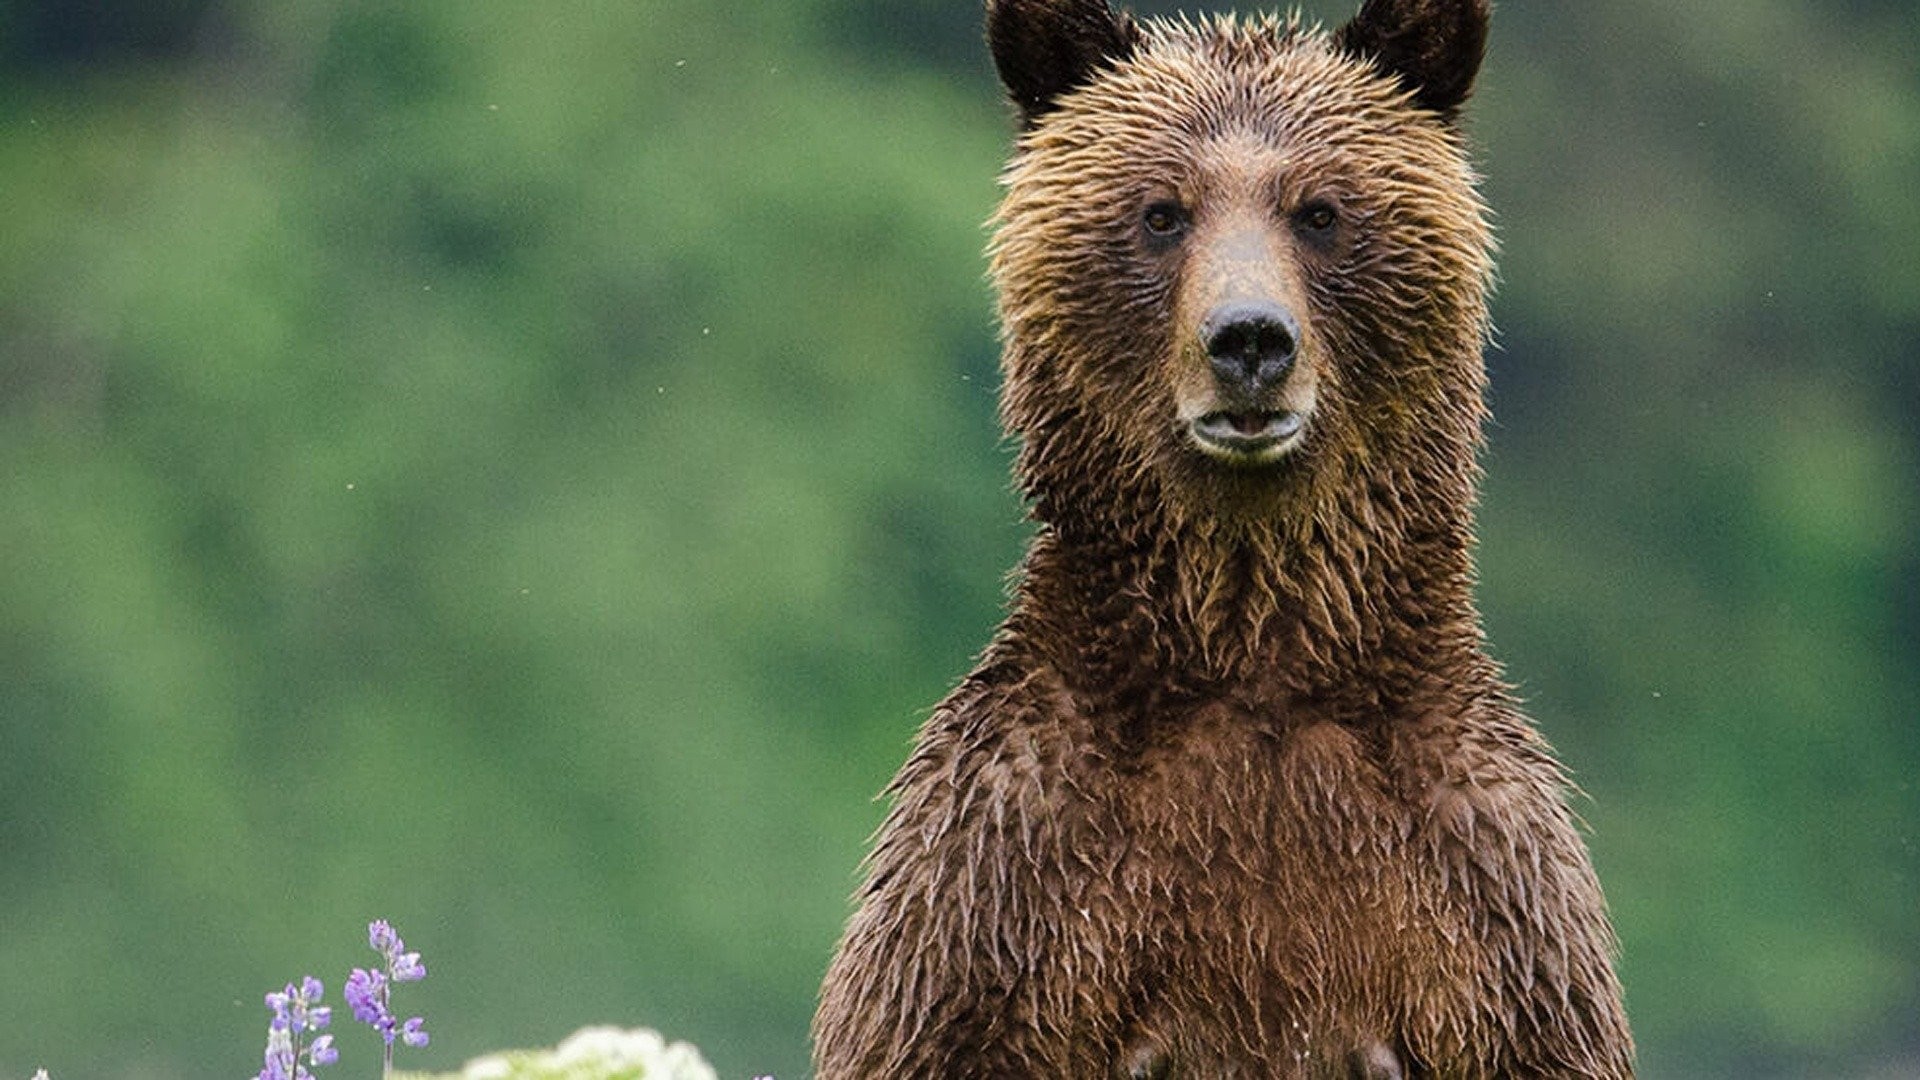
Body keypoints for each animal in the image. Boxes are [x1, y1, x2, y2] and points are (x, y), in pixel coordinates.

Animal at [810, 0, 1635, 1068]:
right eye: (1163, 212)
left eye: (1319, 210)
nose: (1249, 339)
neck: (1250, 661)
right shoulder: (1003, 885)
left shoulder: (1487, 904)